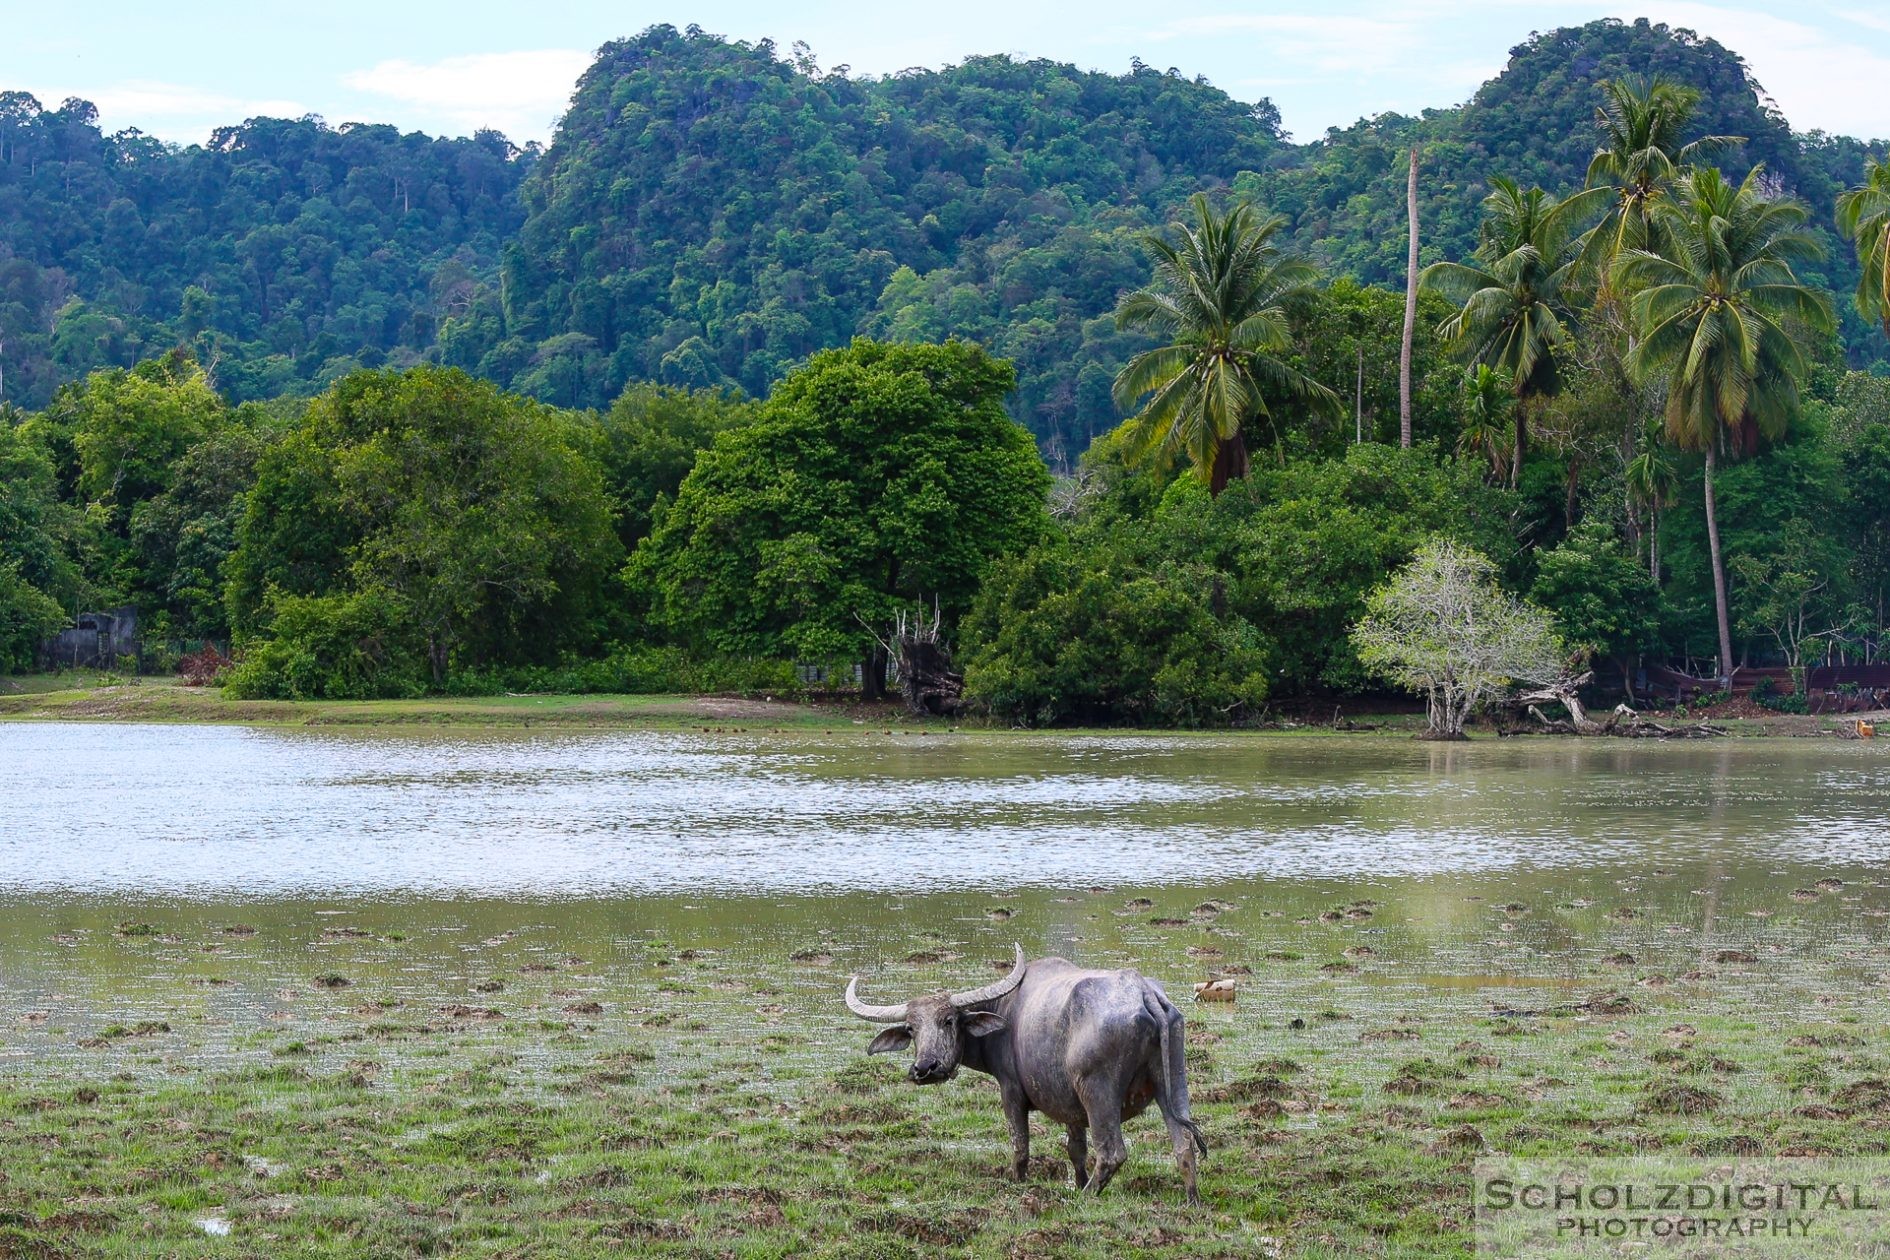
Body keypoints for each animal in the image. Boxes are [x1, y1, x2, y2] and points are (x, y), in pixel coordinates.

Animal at [846, 944, 1202, 1201]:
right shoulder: (1070, 1104)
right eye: (911, 1028)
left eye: (948, 1020)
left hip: (1097, 1091)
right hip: (1172, 1081)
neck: (1006, 1012)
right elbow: (1075, 1149)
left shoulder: (1012, 1091)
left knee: (1112, 1152)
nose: (925, 1068)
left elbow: (1020, 1145)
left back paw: (1085, 1198)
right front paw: (1077, 1180)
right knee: (1184, 1143)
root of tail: (1143, 992)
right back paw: (1191, 1199)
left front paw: (1017, 1183)